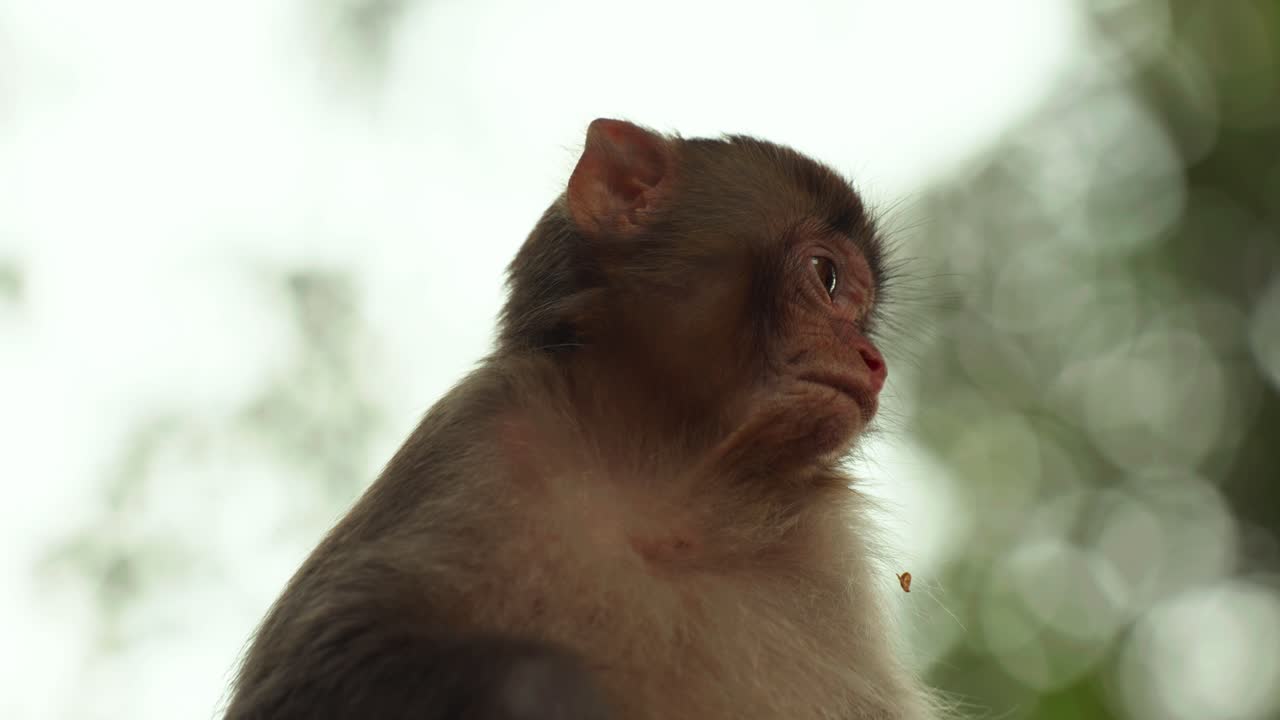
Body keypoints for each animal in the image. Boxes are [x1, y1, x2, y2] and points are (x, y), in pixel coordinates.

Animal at [222, 119, 936, 720]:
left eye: (863, 310)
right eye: (827, 275)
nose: (874, 361)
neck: (668, 489)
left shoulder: (829, 563)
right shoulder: (482, 430)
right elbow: (310, 669)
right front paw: (550, 690)